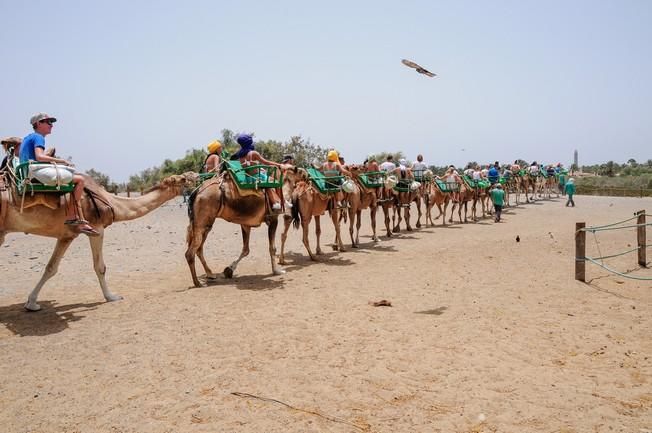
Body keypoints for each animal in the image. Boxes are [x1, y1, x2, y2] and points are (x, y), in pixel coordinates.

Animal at [0, 170, 195, 308]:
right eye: (182, 179)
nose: (193, 175)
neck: (112, 202)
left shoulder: (67, 235)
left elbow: (51, 268)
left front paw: (31, 303)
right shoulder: (97, 228)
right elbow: (100, 267)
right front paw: (112, 296)